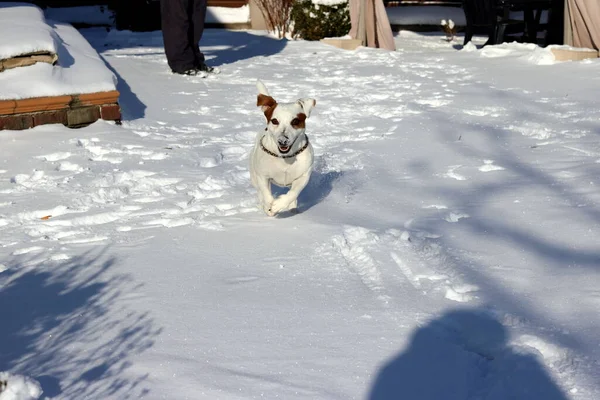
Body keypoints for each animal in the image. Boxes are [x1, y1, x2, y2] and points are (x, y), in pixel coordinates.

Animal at [248, 81, 316, 217]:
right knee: (260, 191)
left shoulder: (303, 175)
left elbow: (293, 193)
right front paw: (269, 207)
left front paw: (278, 205)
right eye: (274, 121)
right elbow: (266, 193)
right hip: (254, 175)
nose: (282, 140)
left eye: (295, 121)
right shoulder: (263, 176)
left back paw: (293, 209)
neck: (285, 158)